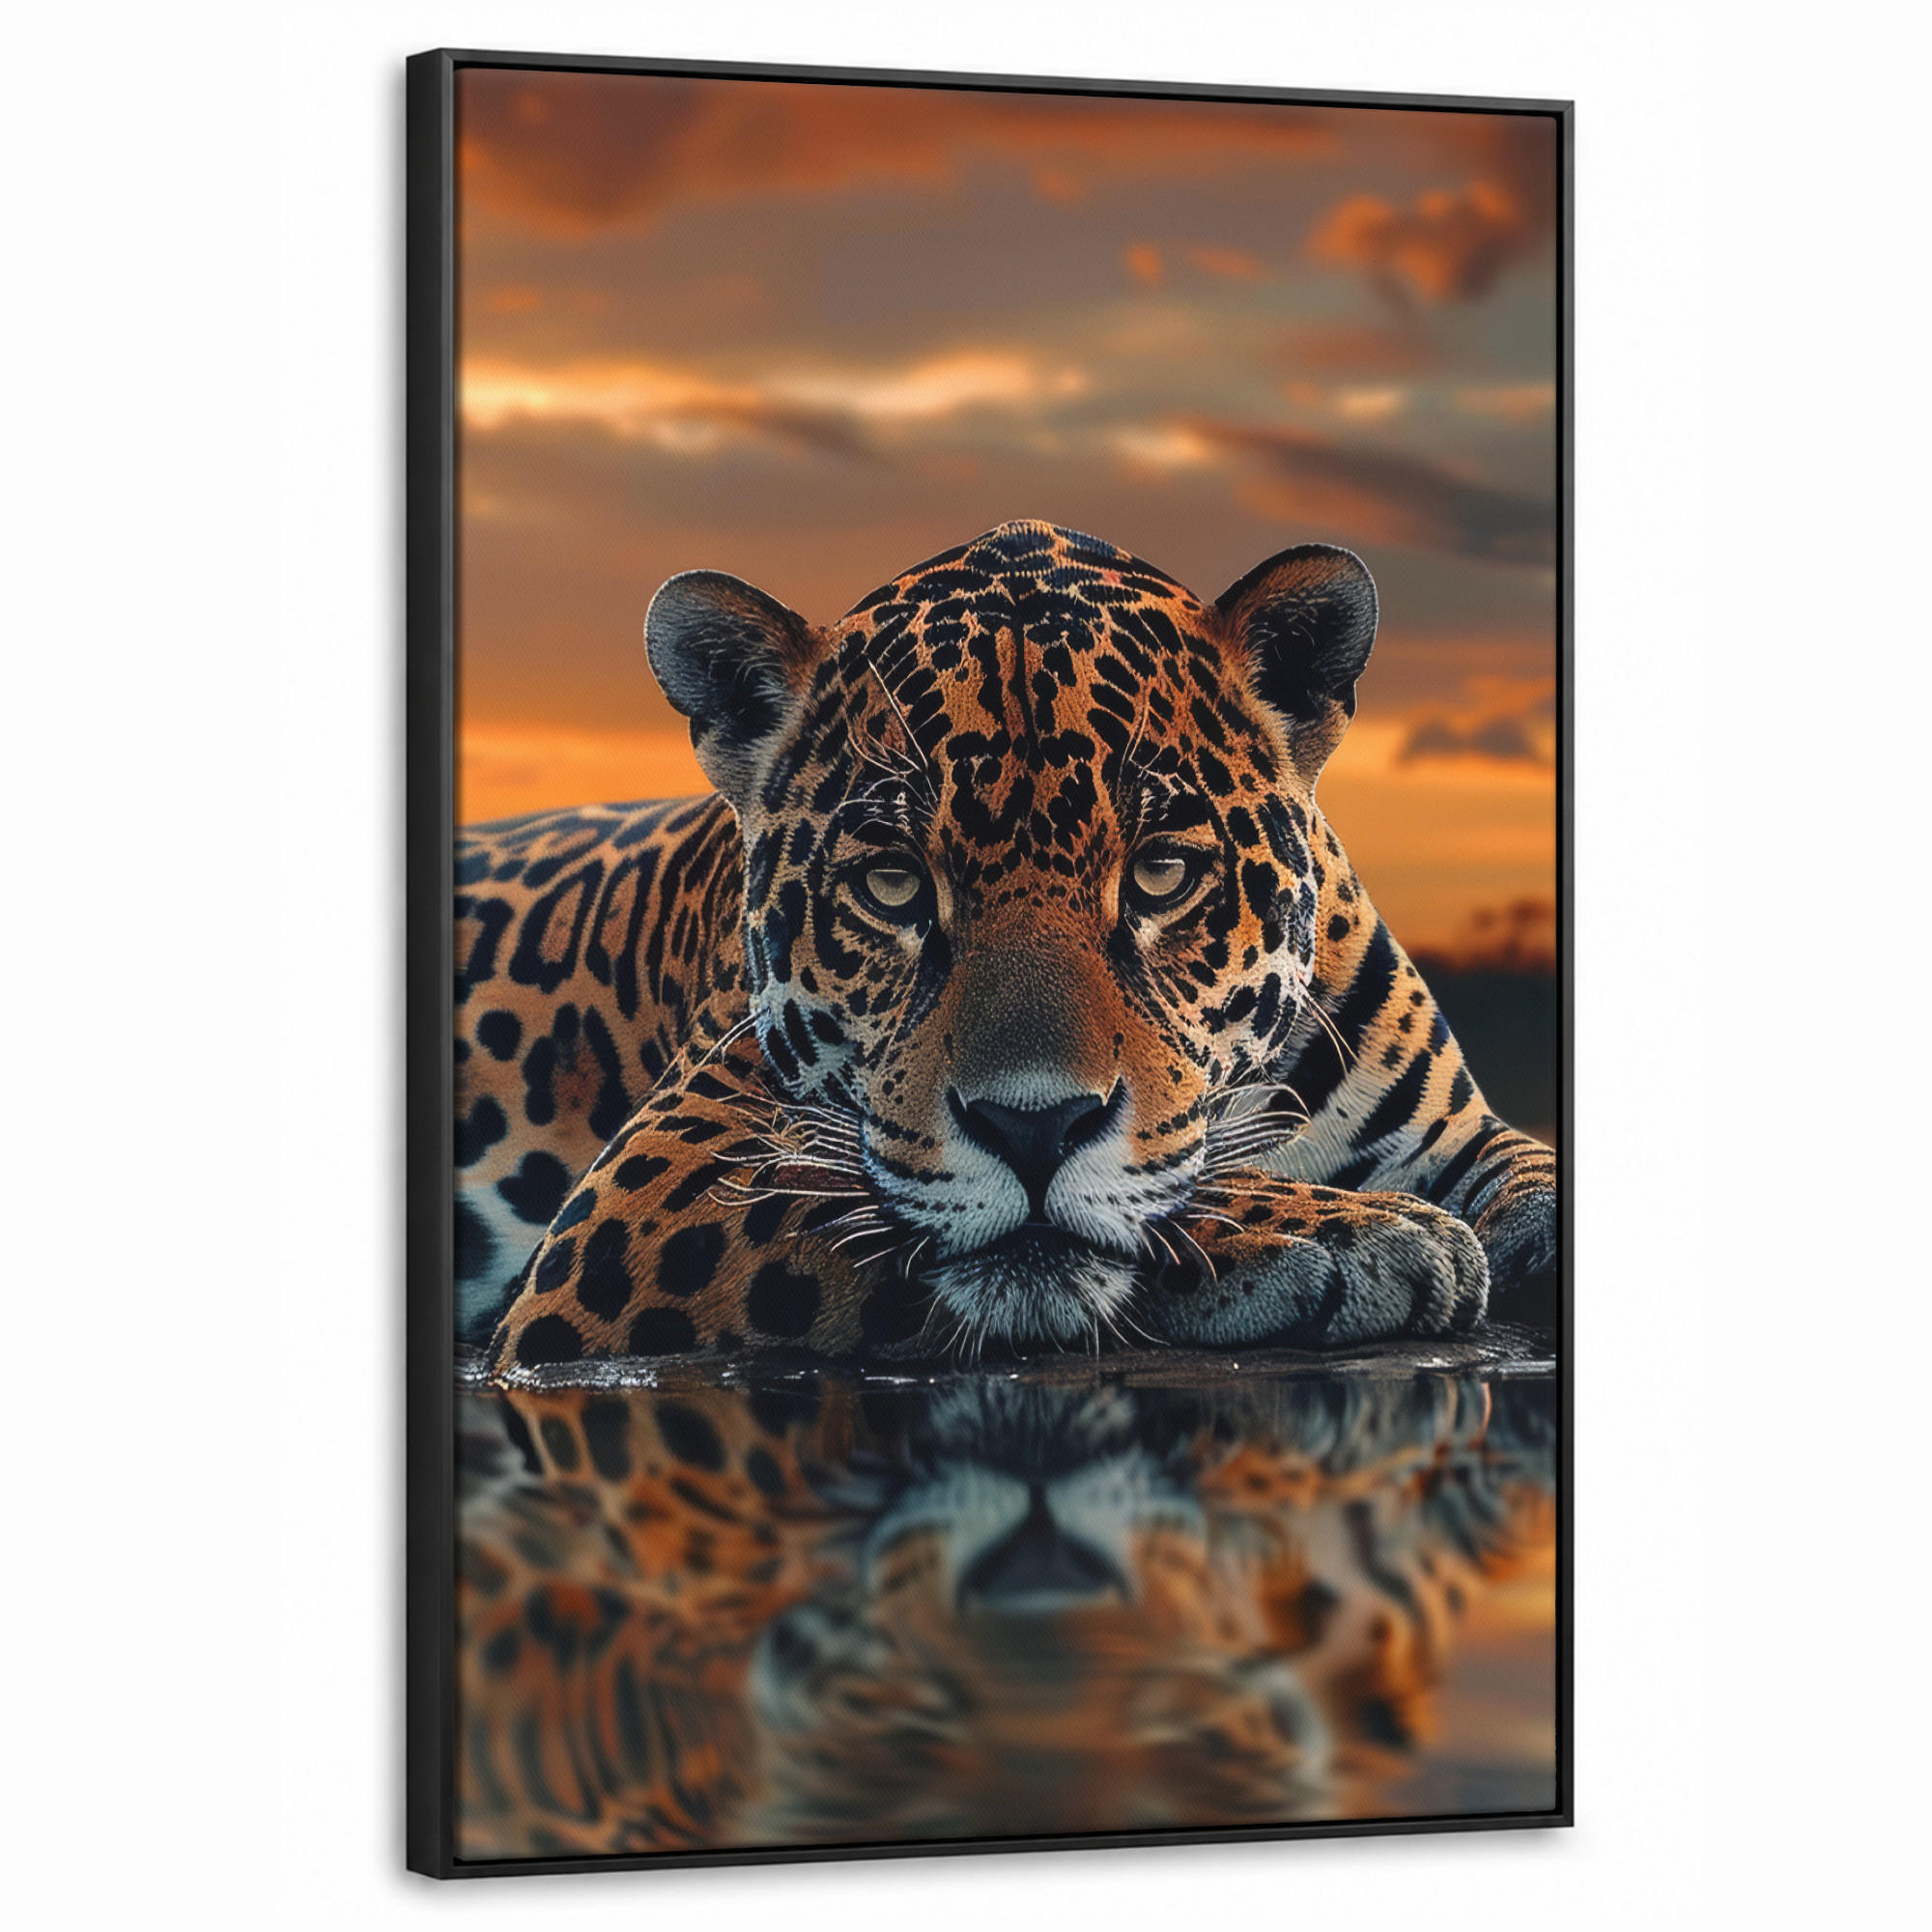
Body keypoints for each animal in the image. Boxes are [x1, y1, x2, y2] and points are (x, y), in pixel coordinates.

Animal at [453, 520, 1557, 1372]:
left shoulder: (1453, 1130)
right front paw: (1351, 1229)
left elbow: (1528, 1164)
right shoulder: (651, 1183)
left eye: (1161, 873)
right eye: (893, 883)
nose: (1033, 1128)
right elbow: (845, 1197)